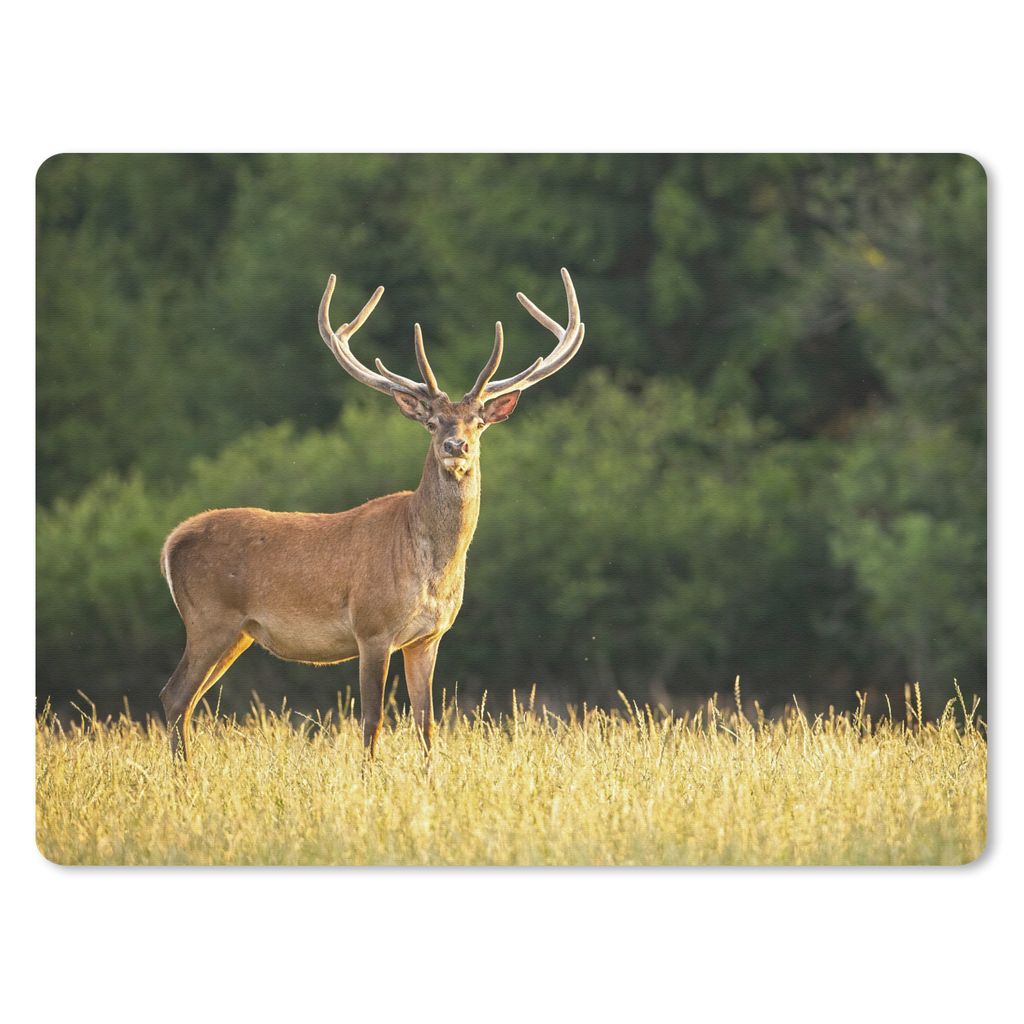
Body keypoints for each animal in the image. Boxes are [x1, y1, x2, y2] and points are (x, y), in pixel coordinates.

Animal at [159, 268, 585, 760]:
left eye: (478, 421)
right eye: (432, 422)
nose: (455, 446)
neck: (431, 568)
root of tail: (171, 543)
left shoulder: (429, 637)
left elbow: (426, 722)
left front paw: (429, 772)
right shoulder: (372, 627)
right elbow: (372, 720)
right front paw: (368, 773)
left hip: (239, 631)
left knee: (187, 700)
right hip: (209, 618)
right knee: (174, 695)